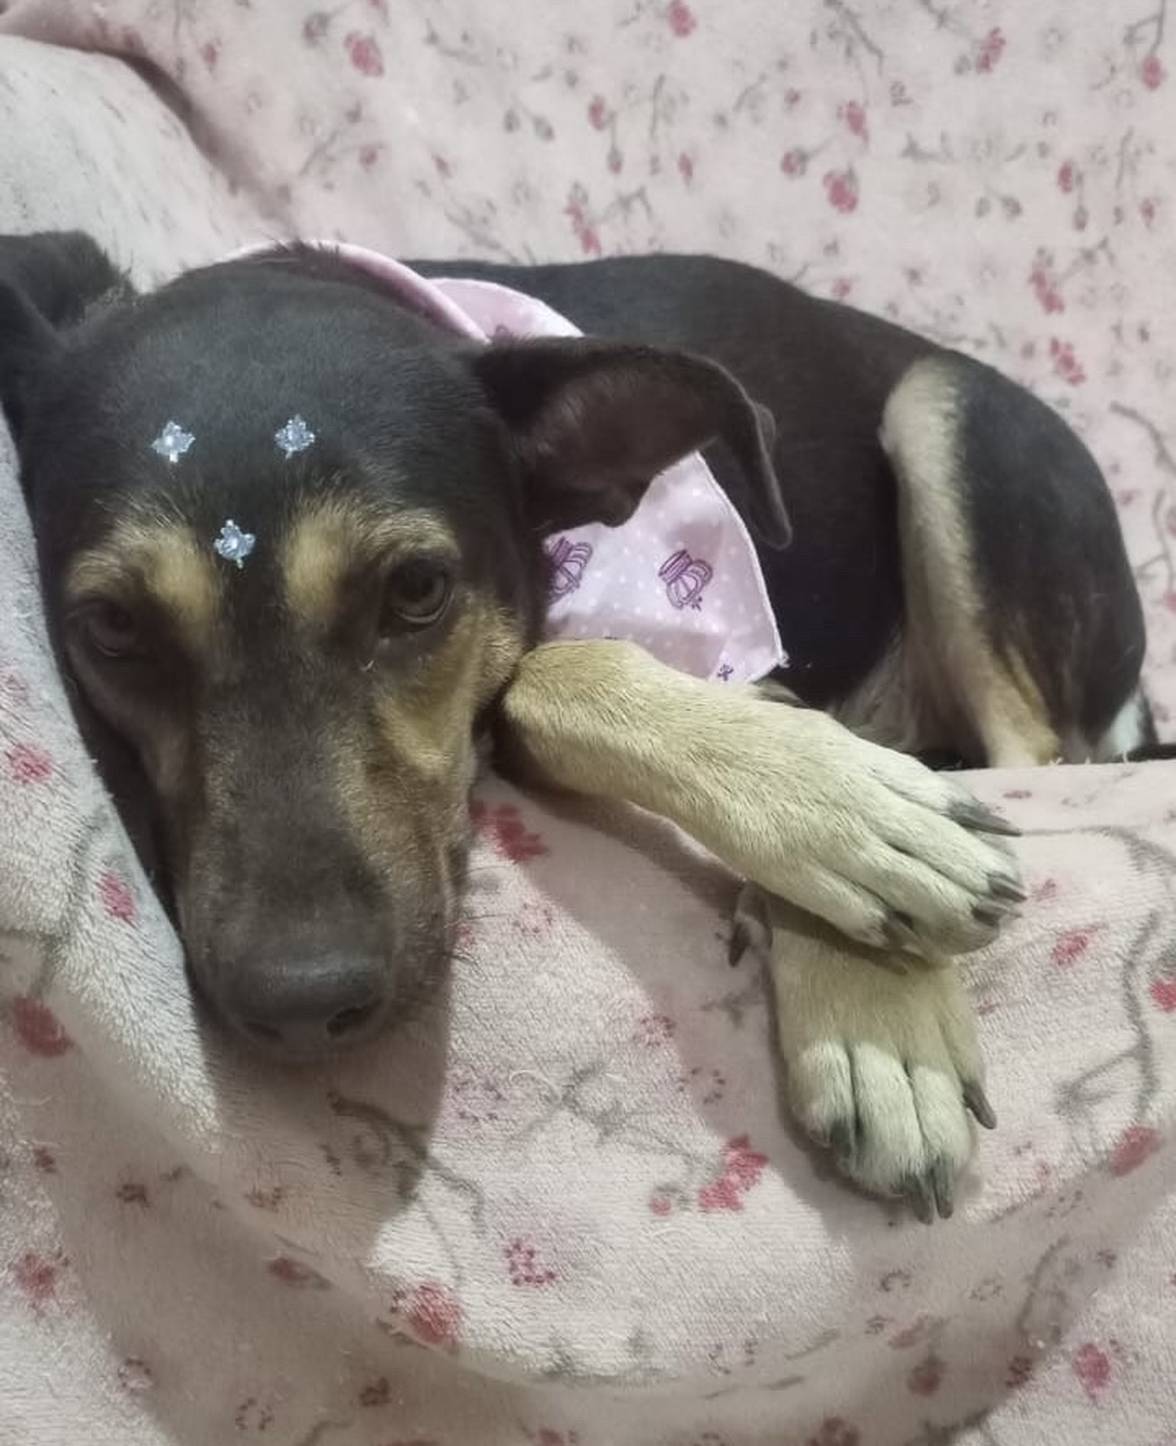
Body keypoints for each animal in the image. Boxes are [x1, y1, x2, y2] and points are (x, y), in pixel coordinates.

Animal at [0, 231, 1147, 1221]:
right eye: (112, 628)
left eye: (417, 590)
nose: (300, 1001)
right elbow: (547, 681)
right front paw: (851, 869)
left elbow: (573, 667)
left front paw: (872, 974)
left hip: (942, 411)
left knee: (1039, 754)